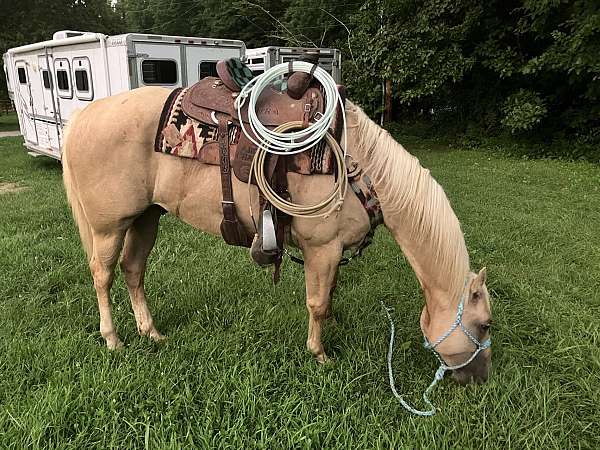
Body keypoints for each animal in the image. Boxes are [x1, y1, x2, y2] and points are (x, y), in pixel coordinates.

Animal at [62, 87, 492, 384]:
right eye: (486, 325)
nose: (480, 380)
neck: (364, 170)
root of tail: (83, 115)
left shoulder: (331, 253)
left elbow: (329, 294)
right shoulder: (323, 248)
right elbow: (317, 302)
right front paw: (320, 354)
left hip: (146, 218)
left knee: (133, 270)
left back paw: (151, 332)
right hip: (109, 226)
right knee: (103, 276)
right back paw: (113, 339)